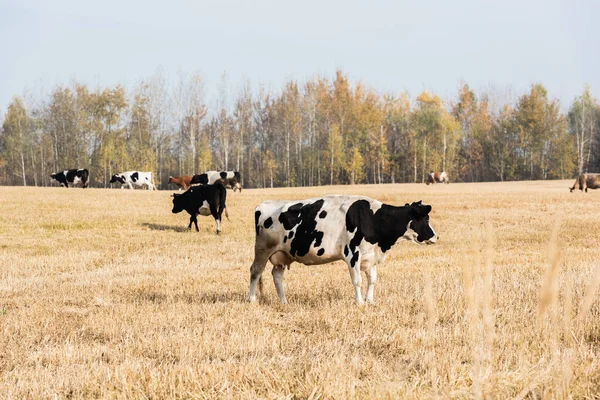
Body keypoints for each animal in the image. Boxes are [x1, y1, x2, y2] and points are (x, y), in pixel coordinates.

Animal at [248, 195, 436, 304]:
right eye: (424, 218)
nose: (435, 236)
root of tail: (263, 205)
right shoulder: (352, 254)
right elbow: (357, 280)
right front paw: (360, 303)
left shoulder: (370, 256)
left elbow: (372, 280)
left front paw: (370, 301)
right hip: (262, 249)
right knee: (255, 271)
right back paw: (252, 299)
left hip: (282, 254)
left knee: (277, 275)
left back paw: (284, 301)